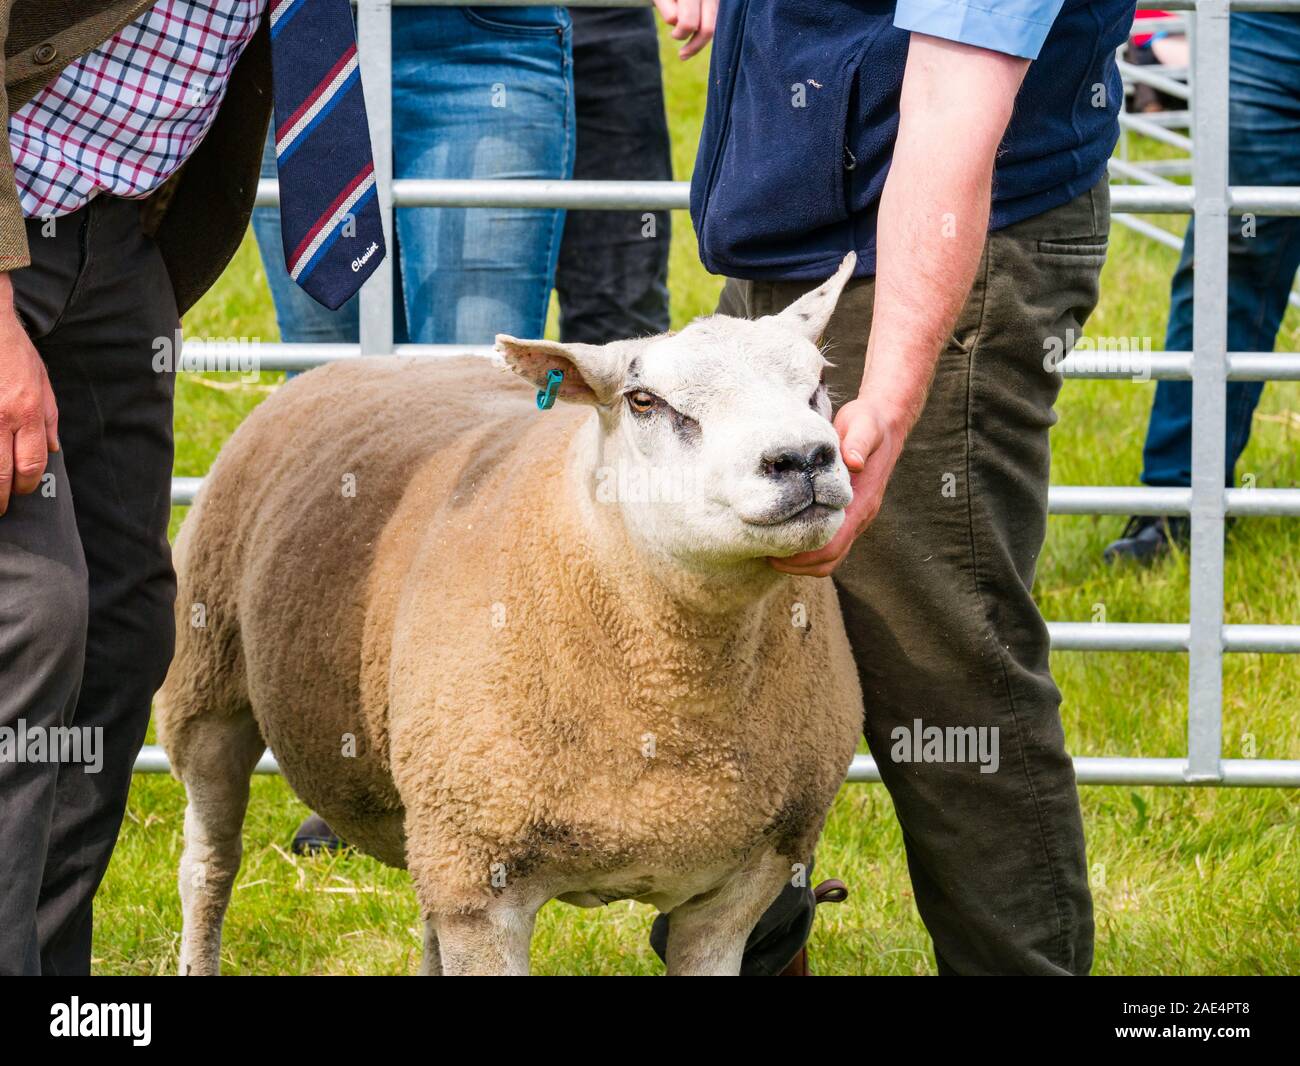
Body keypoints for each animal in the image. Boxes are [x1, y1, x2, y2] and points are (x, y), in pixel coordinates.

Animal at [157, 252, 868, 972]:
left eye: (818, 384)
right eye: (642, 400)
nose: (803, 459)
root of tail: (346, 364)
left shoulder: (740, 888)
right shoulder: (480, 877)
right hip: (206, 686)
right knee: (208, 867)